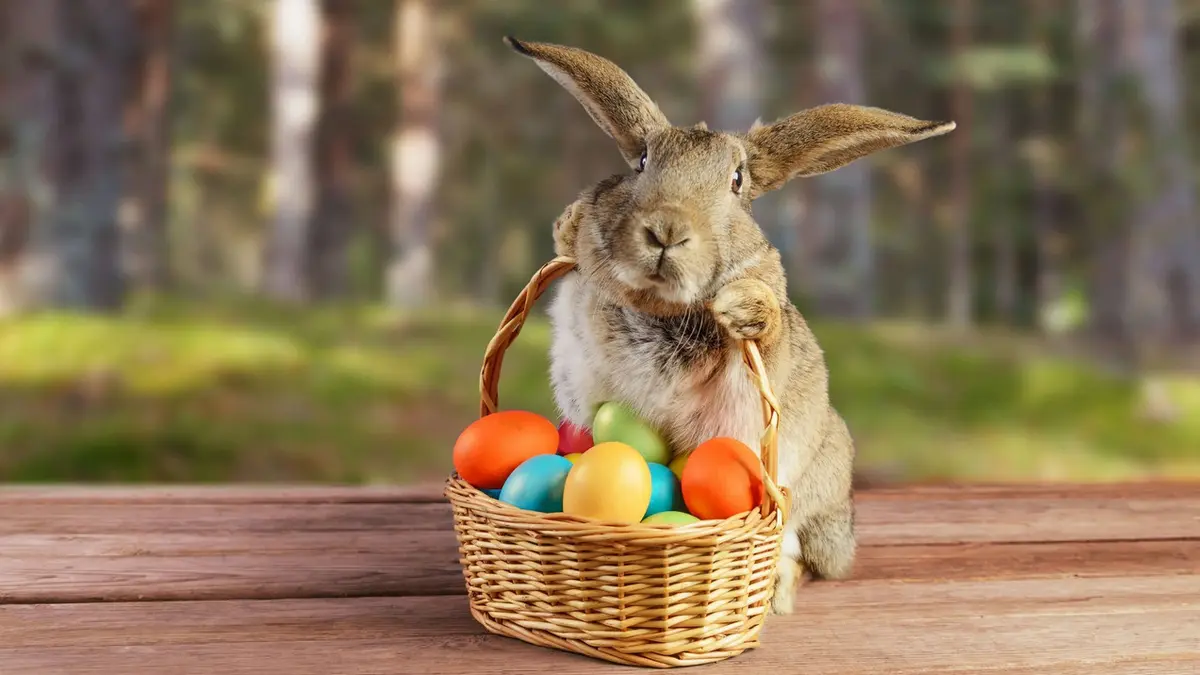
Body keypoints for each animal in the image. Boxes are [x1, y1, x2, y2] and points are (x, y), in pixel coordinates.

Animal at [506, 36, 954, 615]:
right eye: (643, 161)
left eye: (736, 181)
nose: (666, 229)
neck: (659, 304)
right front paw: (570, 222)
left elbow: (764, 328)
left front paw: (742, 307)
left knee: (800, 560)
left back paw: (777, 597)